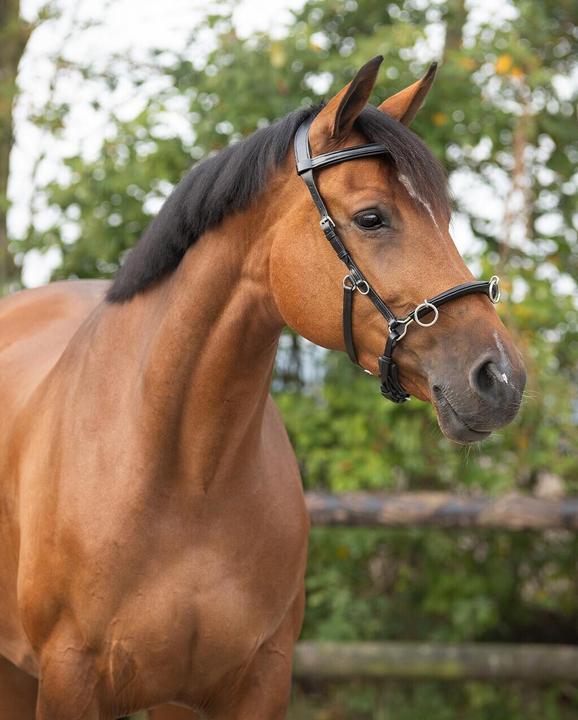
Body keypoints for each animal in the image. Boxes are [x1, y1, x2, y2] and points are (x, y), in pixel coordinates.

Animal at [0, 56, 525, 719]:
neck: (185, 479)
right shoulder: (69, 679)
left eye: (448, 220)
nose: (502, 378)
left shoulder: (256, 681)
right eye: (371, 217)